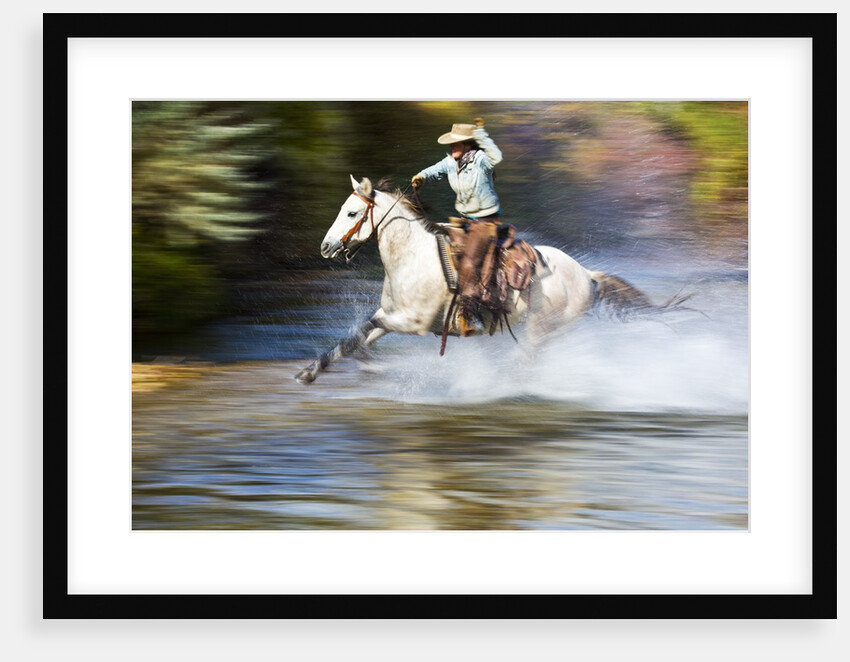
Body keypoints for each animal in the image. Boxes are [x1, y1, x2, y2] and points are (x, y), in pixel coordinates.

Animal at [295, 175, 684, 384]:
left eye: (352, 213)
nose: (326, 246)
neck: (413, 257)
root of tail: (587, 276)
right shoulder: (391, 316)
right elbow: (358, 336)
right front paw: (311, 372)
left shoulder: (411, 322)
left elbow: (359, 333)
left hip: (540, 330)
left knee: (523, 364)